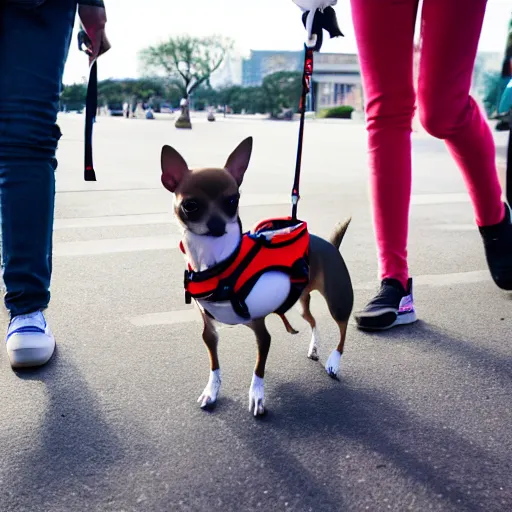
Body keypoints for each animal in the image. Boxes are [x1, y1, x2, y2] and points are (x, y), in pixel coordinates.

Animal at [162, 136, 354, 416]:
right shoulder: (209, 332)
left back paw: (334, 361)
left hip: (339, 302)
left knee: (342, 330)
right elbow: (214, 366)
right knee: (313, 321)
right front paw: (212, 391)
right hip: (300, 304)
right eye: (191, 205)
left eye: (233, 200)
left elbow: (258, 370)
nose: (218, 225)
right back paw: (314, 348)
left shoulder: (262, 335)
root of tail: (331, 244)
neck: (218, 265)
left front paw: (257, 396)